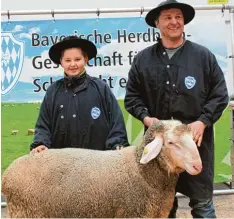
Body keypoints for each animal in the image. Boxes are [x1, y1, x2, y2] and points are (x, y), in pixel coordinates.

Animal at [1, 120, 202, 218]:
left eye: (192, 137)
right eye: (171, 142)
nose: (198, 165)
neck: (141, 170)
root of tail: (8, 172)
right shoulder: (132, 214)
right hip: (25, 212)